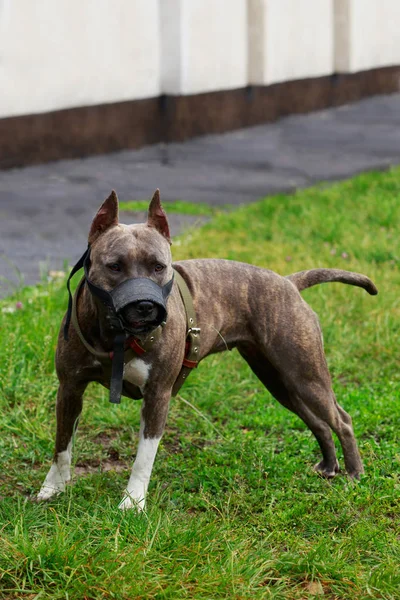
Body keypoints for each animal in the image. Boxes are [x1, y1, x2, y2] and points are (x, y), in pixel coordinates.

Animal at [37, 190, 378, 508]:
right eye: (115, 266)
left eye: (159, 267)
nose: (146, 306)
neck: (116, 336)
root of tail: (288, 282)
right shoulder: (70, 388)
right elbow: (62, 446)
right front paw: (52, 489)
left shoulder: (157, 395)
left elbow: (143, 458)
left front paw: (133, 502)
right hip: (281, 382)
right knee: (318, 421)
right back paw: (329, 466)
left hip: (306, 375)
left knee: (341, 420)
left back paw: (354, 474)